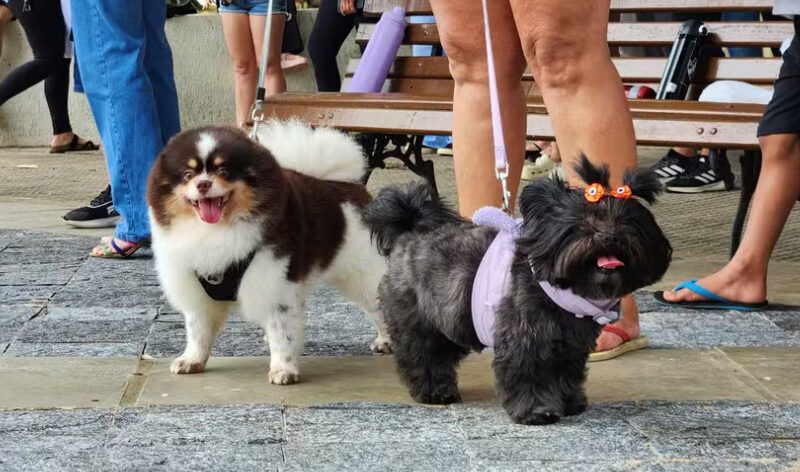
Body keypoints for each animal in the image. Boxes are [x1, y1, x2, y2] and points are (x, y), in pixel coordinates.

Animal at [147, 121, 391, 385]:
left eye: (224, 172)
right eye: (188, 175)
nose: (203, 184)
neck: (218, 230)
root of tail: (347, 186)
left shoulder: (275, 283)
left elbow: (282, 331)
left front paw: (283, 369)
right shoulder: (197, 290)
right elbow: (198, 331)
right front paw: (192, 360)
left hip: (364, 273)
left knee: (379, 303)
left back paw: (387, 340)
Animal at [366, 157, 672, 424]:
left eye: (626, 222)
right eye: (584, 223)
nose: (609, 237)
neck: (557, 287)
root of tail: (410, 233)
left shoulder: (569, 347)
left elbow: (566, 375)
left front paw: (569, 402)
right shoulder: (525, 341)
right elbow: (529, 377)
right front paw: (537, 411)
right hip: (421, 325)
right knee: (423, 357)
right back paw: (434, 391)